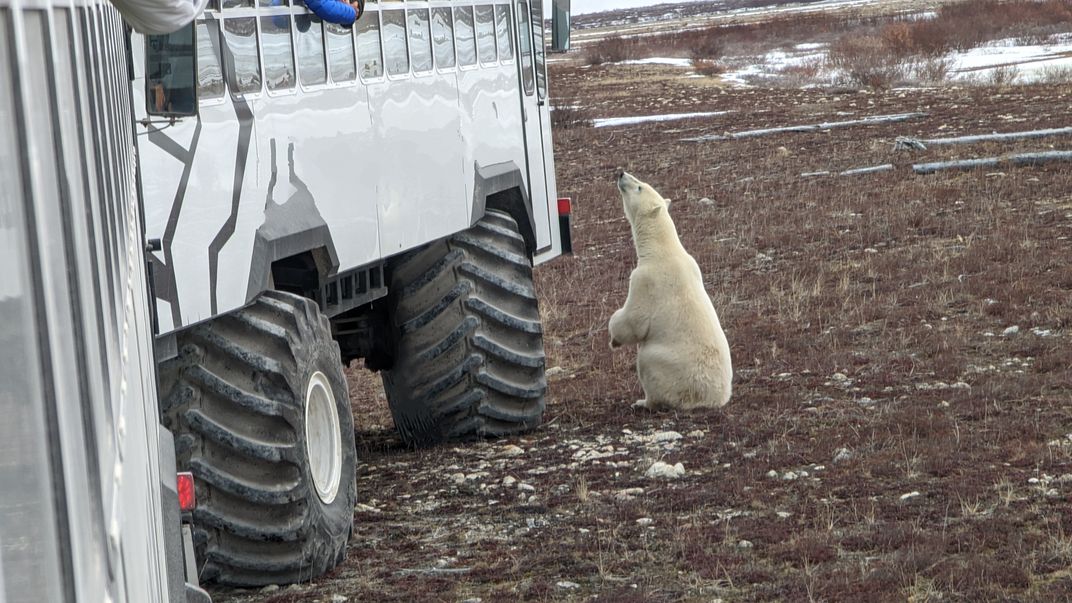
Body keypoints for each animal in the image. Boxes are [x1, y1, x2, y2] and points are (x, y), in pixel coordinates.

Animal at [608, 172, 732, 411]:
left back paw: (643, 401)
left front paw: (614, 337)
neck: (663, 249)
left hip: (668, 365)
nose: (621, 173)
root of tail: (713, 399)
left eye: (639, 186)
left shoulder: (646, 279)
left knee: (647, 362)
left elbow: (635, 321)